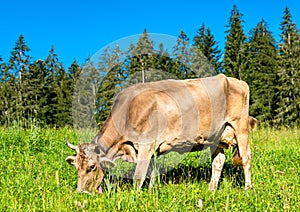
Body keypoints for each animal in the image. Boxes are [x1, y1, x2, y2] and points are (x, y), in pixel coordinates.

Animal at [66, 74, 253, 194]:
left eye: (92, 167)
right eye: (75, 166)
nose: (80, 193)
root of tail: (234, 80)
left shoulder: (146, 144)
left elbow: (139, 176)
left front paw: (135, 197)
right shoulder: (153, 149)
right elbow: (153, 171)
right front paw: (151, 192)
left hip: (240, 126)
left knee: (245, 157)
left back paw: (247, 188)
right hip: (216, 137)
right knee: (218, 162)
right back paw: (211, 190)